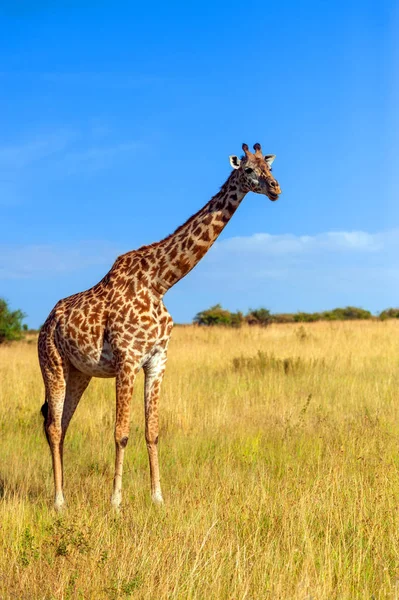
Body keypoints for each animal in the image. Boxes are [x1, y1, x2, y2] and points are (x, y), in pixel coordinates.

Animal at [37, 143, 282, 508]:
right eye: (249, 170)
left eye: (268, 167)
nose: (276, 189)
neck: (160, 281)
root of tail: (46, 323)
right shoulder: (127, 360)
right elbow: (121, 433)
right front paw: (116, 502)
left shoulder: (157, 360)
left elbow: (152, 431)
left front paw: (157, 498)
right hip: (52, 363)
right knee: (53, 427)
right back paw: (58, 502)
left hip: (79, 372)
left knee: (62, 424)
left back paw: (63, 494)